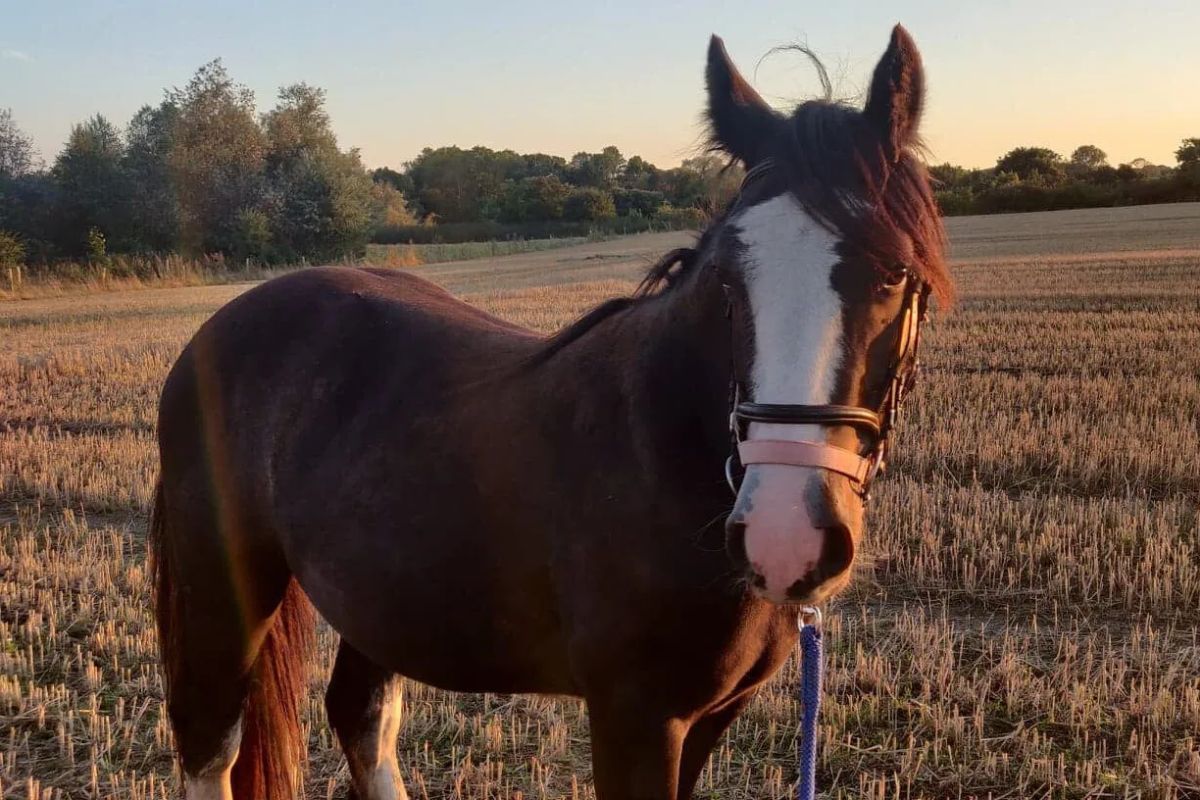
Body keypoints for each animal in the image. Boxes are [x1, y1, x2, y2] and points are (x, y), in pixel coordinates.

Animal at [150, 24, 952, 800]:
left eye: (896, 272)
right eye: (727, 277)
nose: (785, 538)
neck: (664, 452)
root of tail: (218, 330)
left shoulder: (713, 715)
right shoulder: (635, 716)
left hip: (376, 601)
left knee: (361, 718)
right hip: (223, 587)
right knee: (209, 742)